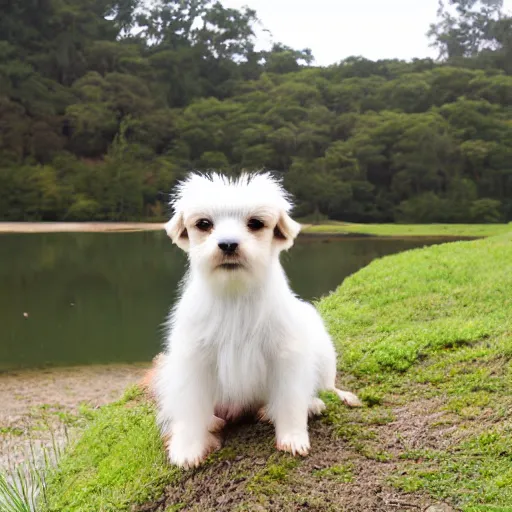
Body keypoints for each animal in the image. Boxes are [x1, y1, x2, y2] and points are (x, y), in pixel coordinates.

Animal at [154, 174, 362, 470]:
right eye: (203, 224)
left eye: (256, 223)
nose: (228, 244)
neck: (235, 294)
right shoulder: (193, 360)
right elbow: (191, 408)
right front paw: (188, 448)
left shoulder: (286, 355)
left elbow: (290, 400)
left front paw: (293, 437)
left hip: (322, 350)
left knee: (324, 386)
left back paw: (312, 403)